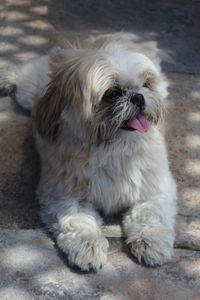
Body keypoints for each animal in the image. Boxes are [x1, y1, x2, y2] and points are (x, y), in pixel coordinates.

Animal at [7, 33, 177, 272]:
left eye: (146, 84)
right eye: (112, 93)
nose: (138, 96)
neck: (113, 149)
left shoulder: (155, 188)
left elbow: (151, 214)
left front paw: (151, 242)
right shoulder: (63, 195)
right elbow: (78, 221)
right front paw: (88, 247)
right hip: (28, 91)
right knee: (22, 73)